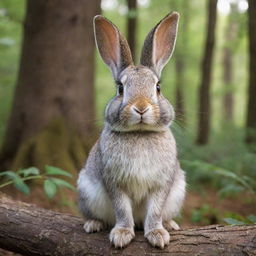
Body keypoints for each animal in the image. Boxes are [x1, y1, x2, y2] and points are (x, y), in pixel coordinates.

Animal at [76, 11, 186, 248]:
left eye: (158, 87)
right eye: (120, 88)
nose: (141, 107)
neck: (140, 133)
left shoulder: (162, 185)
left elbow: (155, 211)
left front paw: (158, 235)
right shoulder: (115, 183)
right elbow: (122, 209)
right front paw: (122, 235)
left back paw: (170, 224)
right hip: (86, 190)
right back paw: (93, 224)